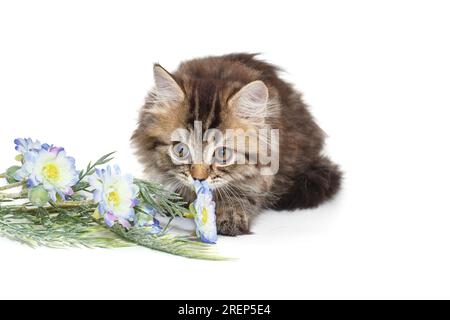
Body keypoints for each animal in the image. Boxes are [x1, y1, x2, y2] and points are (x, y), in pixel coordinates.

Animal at [130, 53, 342, 235]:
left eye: (223, 154)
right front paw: (174, 200)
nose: (198, 178)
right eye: (181, 150)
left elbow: (242, 193)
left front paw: (230, 216)